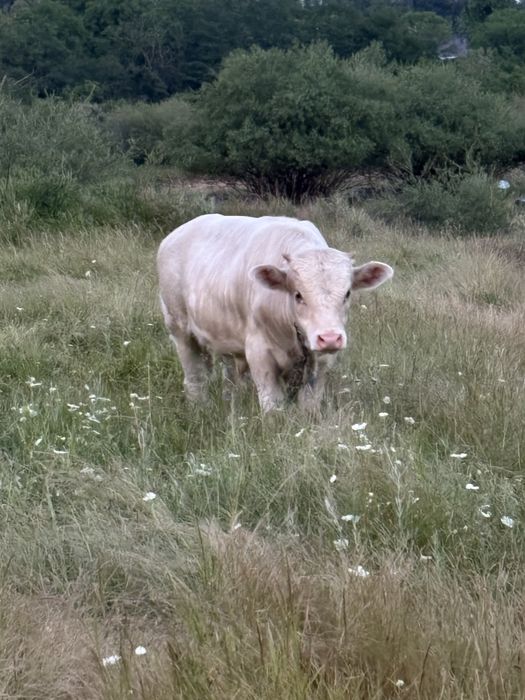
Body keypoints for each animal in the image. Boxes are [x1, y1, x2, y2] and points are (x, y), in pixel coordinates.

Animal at [157, 214, 393, 412]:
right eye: (298, 295)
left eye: (347, 293)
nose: (329, 338)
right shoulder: (259, 352)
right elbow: (273, 404)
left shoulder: (321, 362)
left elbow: (310, 403)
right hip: (178, 327)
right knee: (195, 376)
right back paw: (199, 407)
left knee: (228, 373)